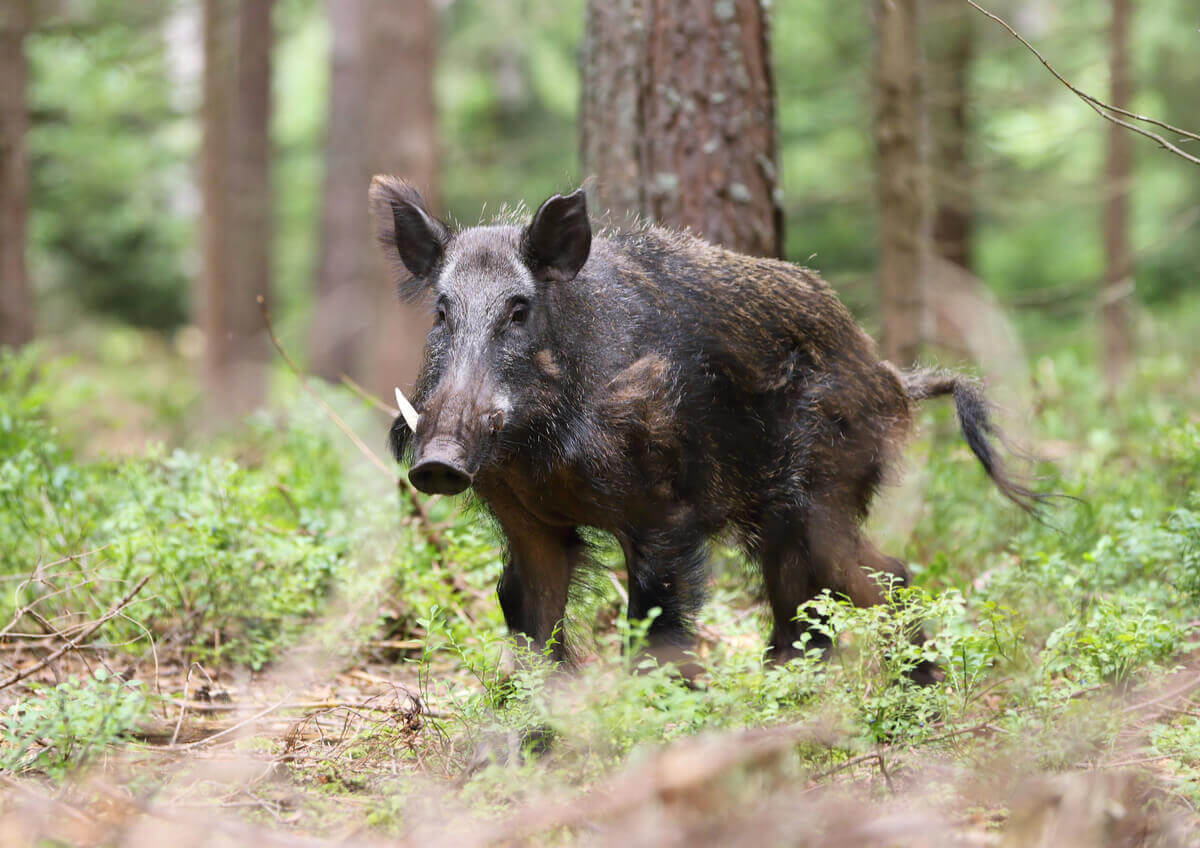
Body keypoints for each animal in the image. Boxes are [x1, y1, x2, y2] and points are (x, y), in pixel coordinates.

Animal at [369, 176, 1040, 683]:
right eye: (441, 311)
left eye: (518, 309)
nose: (437, 462)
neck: (542, 455)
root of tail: (893, 377)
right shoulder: (528, 522)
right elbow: (530, 621)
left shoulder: (664, 511)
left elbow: (655, 622)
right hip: (780, 515)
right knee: (811, 592)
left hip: (821, 488)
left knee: (882, 572)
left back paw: (916, 690)